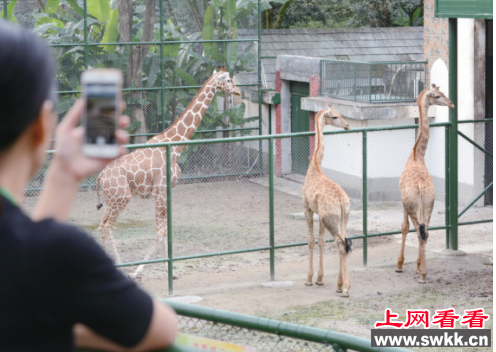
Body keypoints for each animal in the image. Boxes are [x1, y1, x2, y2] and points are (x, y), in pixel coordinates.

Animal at [96, 68, 240, 278]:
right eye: (228, 79)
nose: (238, 92)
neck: (176, 146)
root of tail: (100, 177)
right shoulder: (161, 190)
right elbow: (160, 231)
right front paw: (139, 271)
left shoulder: (168, 191)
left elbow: (165, 229)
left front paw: (169, 270)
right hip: (122, 198)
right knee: (107, 226)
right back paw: (123, 267)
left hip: (112, 200)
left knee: (102, 226)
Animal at [302, 104, 352, 296]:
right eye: (335, 116)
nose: (347, 125)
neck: (314, 166)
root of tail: (342, 201)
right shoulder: (319, 214)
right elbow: (321, 240)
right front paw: (320, 278)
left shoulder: (307, 207)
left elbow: (310, 240)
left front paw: (310, 279)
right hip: (342, 218)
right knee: (346, 242)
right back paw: (339, 285)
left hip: (331, 220)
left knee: (341, 245)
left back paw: (345, 288)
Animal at [398, 83, 456, 284]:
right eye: (438, 95)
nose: (452, 104)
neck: (416, 155)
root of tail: (422, 188)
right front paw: (415, 266)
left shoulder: (403, 202)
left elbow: (404, 228)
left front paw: (400, 265)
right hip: (429, 204)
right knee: (425, 232)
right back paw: (422, 270)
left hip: (414, 205)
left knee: (419, 232)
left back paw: (422, 274)